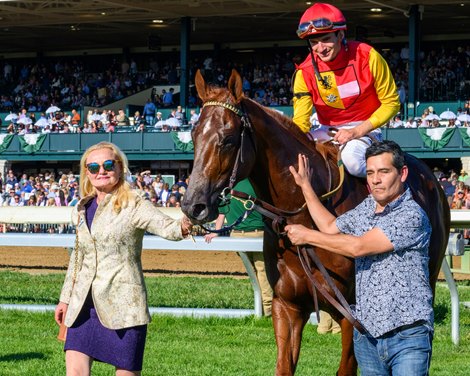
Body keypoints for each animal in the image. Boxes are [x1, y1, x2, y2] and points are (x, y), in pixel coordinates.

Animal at [182, 69, 450, 374]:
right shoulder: (287, 306)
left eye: (227, 139)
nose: (193, 205)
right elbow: (284, 365)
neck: (303, 214)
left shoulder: (351, 313)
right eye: (194, 136)